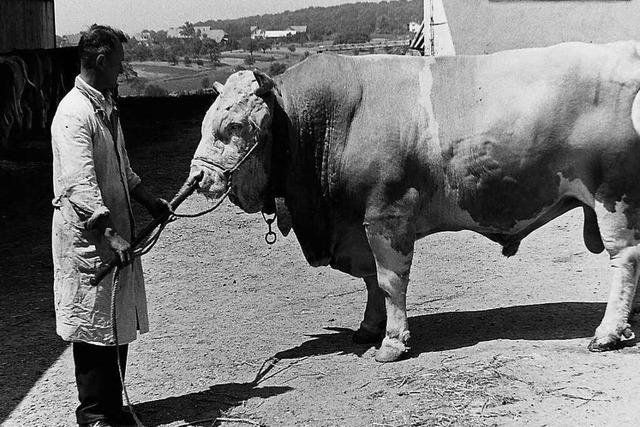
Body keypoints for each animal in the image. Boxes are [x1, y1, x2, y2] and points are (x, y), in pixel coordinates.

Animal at [188, 42, 640, 364]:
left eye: (234, 125)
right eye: (205, 120)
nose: (198, 178)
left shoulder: (386, 216)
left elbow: (390, 280)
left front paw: (392, 342)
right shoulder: (358, 227)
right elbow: (371, 281)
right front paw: (369, 327)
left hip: (613, 197)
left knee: (625, 259)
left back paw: (607, 333)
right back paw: (629, 324)